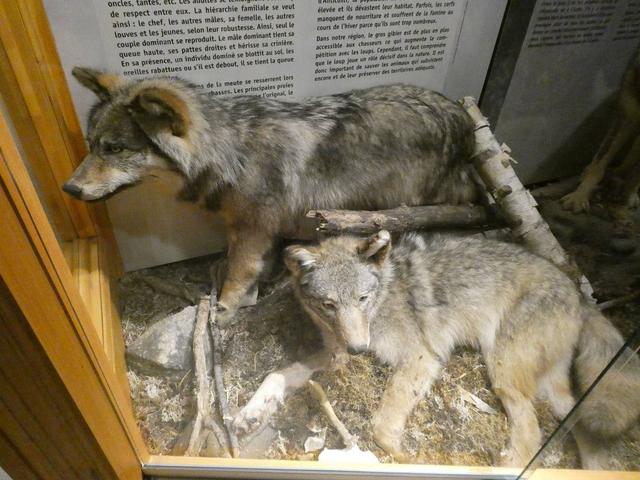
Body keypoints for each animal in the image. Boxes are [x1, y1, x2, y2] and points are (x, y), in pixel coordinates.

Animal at [63, 69, 476, 324]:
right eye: (92, 144)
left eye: (115, 149)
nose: (69, 188)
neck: (231, 152)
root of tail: (462, 117)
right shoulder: (245, 228)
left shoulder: (254, 229)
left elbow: (239, 271)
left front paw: (225, 308)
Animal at [234, 231, 640, 466]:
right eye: (328, 305)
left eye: (363, 299)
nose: (359, 349)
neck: (383, 300)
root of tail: (580, 294)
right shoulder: (334, 356)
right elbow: (278, 373)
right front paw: (249, 412)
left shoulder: (423, 357)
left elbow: (381, 425)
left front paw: (404, 456)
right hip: (546, 386)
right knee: (577, 423)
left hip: (503, 373)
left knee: (532, 433)